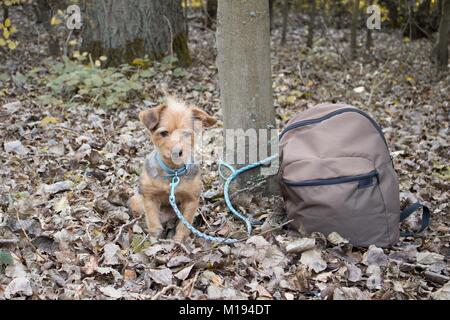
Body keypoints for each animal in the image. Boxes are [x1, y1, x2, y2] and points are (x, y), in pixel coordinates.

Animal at [129, 96, 217, 241]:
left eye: (186, 134)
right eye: (164, 133)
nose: (177, 152)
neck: (173, 172)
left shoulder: (191, 200)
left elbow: (185, 223)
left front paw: (179, 239)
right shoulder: (149, 196)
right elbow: (152, 218)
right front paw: (155, 235)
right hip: (136, 201)